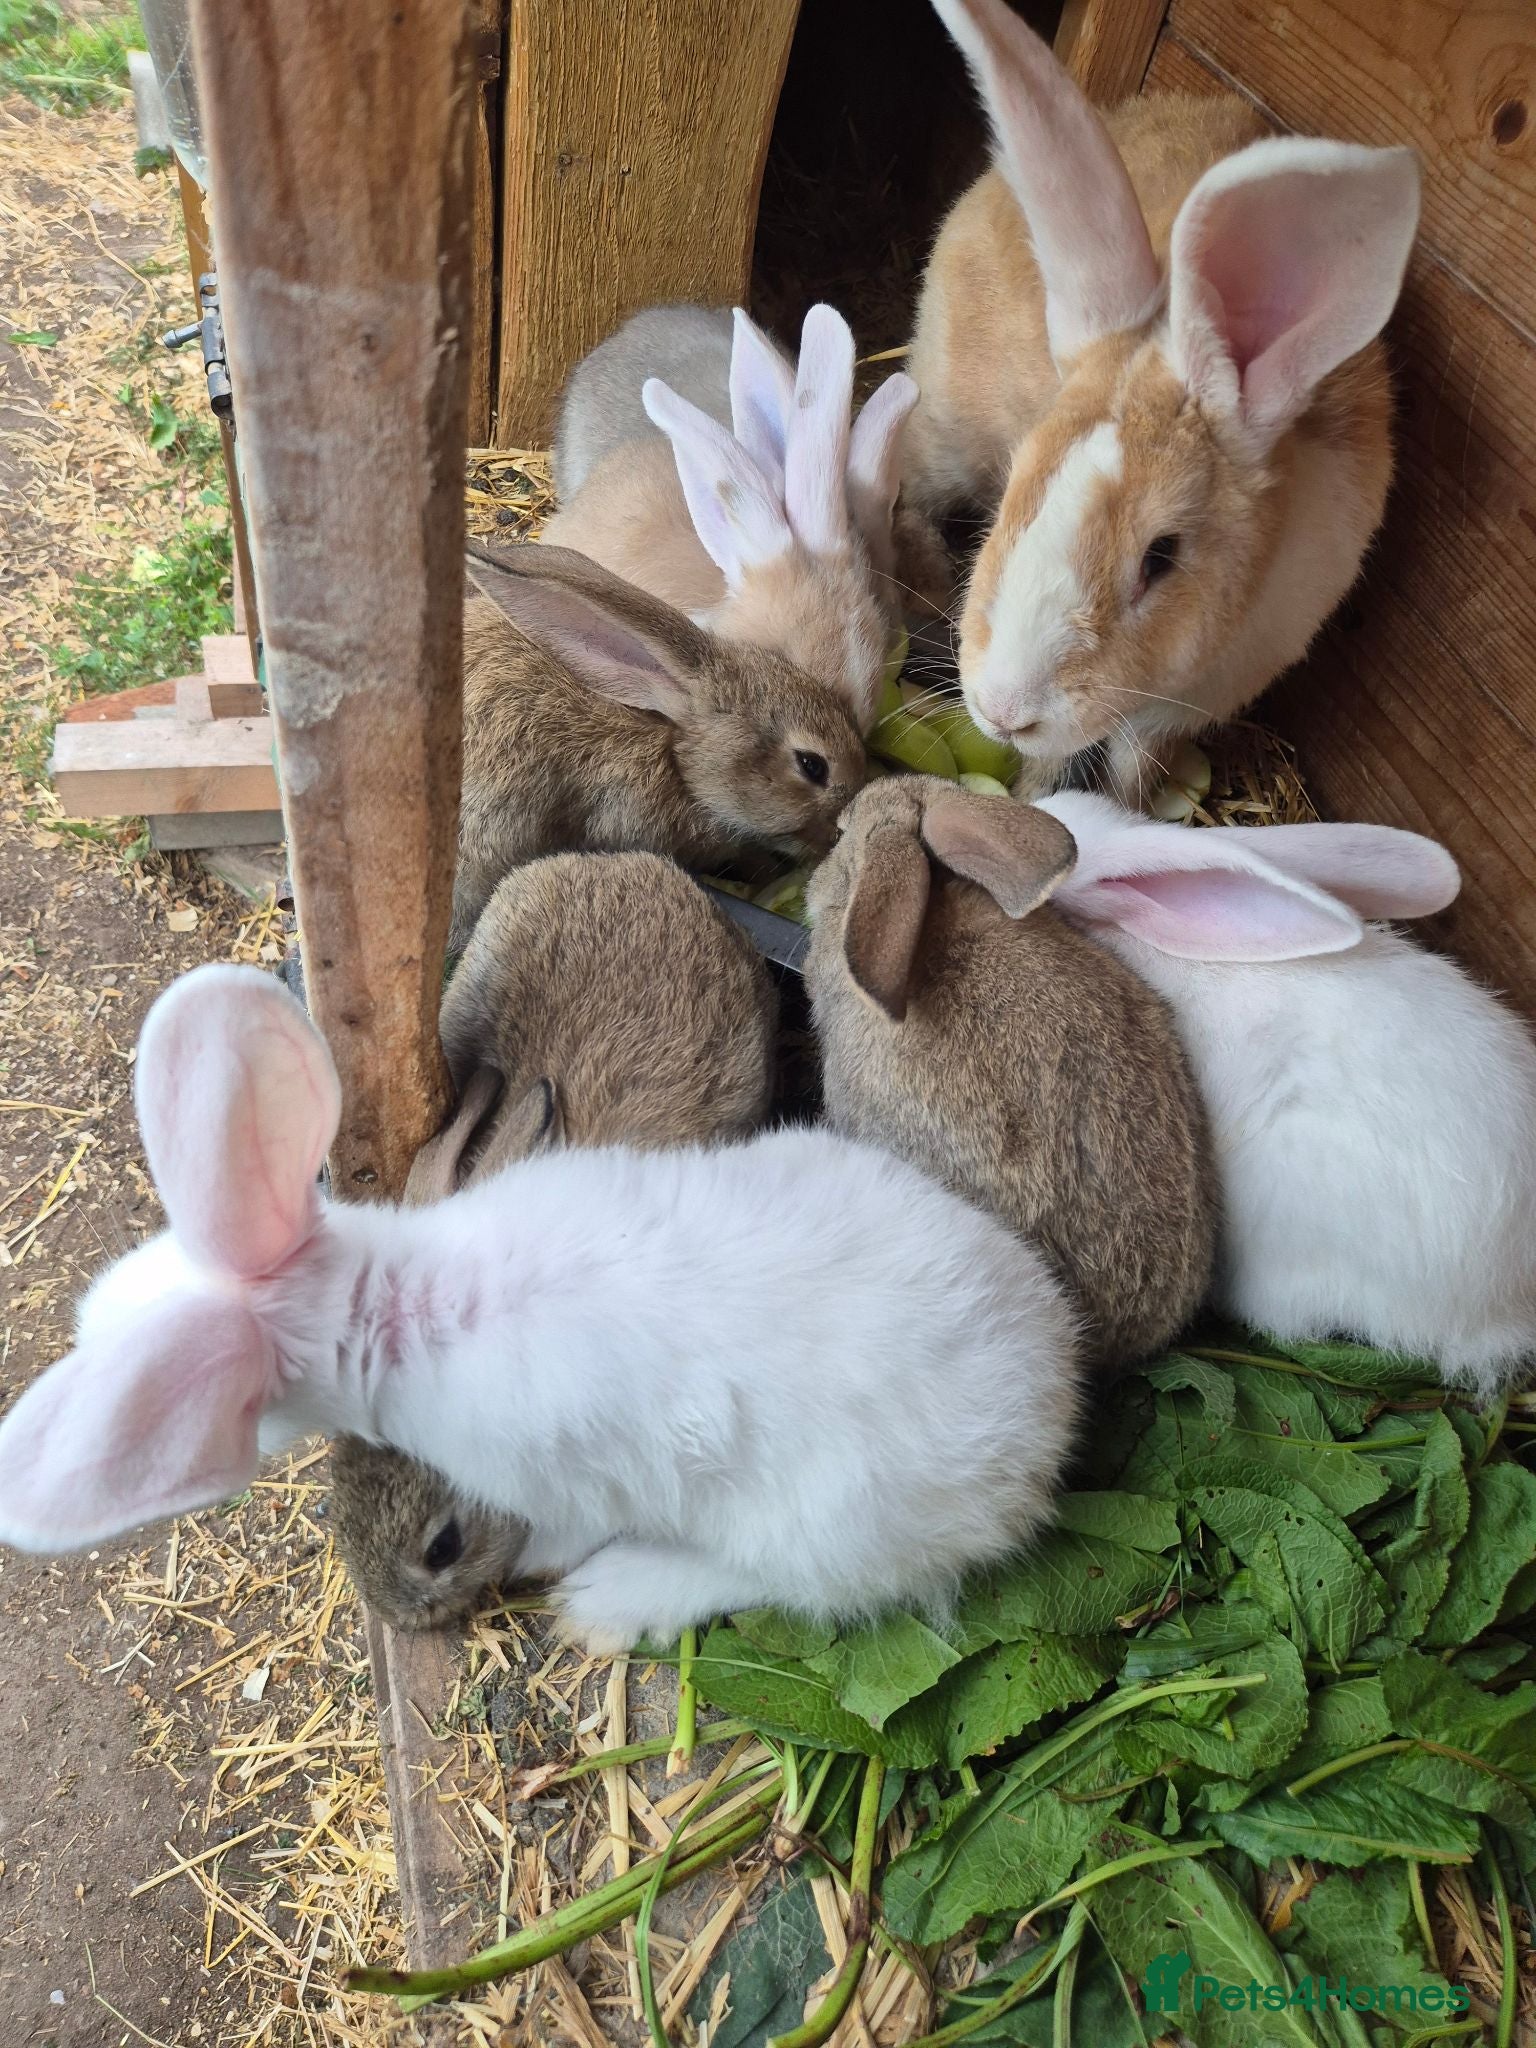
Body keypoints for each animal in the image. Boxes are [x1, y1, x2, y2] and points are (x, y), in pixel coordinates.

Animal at [0, 965, 1084, 1653]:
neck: (390, 1306)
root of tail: (1049, 1416)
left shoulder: (552, 1481)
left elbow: (554, 1524)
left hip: (821, 1527)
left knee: (788, 1585)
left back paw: (612, 1601)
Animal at [903, 0, 1421, 805]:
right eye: (1018, 483)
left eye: (1162, 556)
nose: (1003, 709)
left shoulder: (1179, 710)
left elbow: (1127, 768)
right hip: (942, 430)